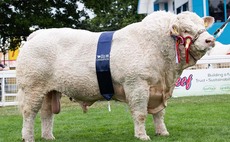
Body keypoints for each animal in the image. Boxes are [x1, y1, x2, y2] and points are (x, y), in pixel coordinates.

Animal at [16, 10, 216, 141]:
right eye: (185, 29)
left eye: (202, 25)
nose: (210, 40)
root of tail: (37, 34)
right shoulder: (136, 85)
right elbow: (140, 113)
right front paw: (142, 135)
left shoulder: (158, 88)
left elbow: (159, 114)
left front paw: (163, 132)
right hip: (32, 87)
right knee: (28, 113)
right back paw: (28, 137)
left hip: (49, 91)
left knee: (46, 114)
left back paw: (48, 137)